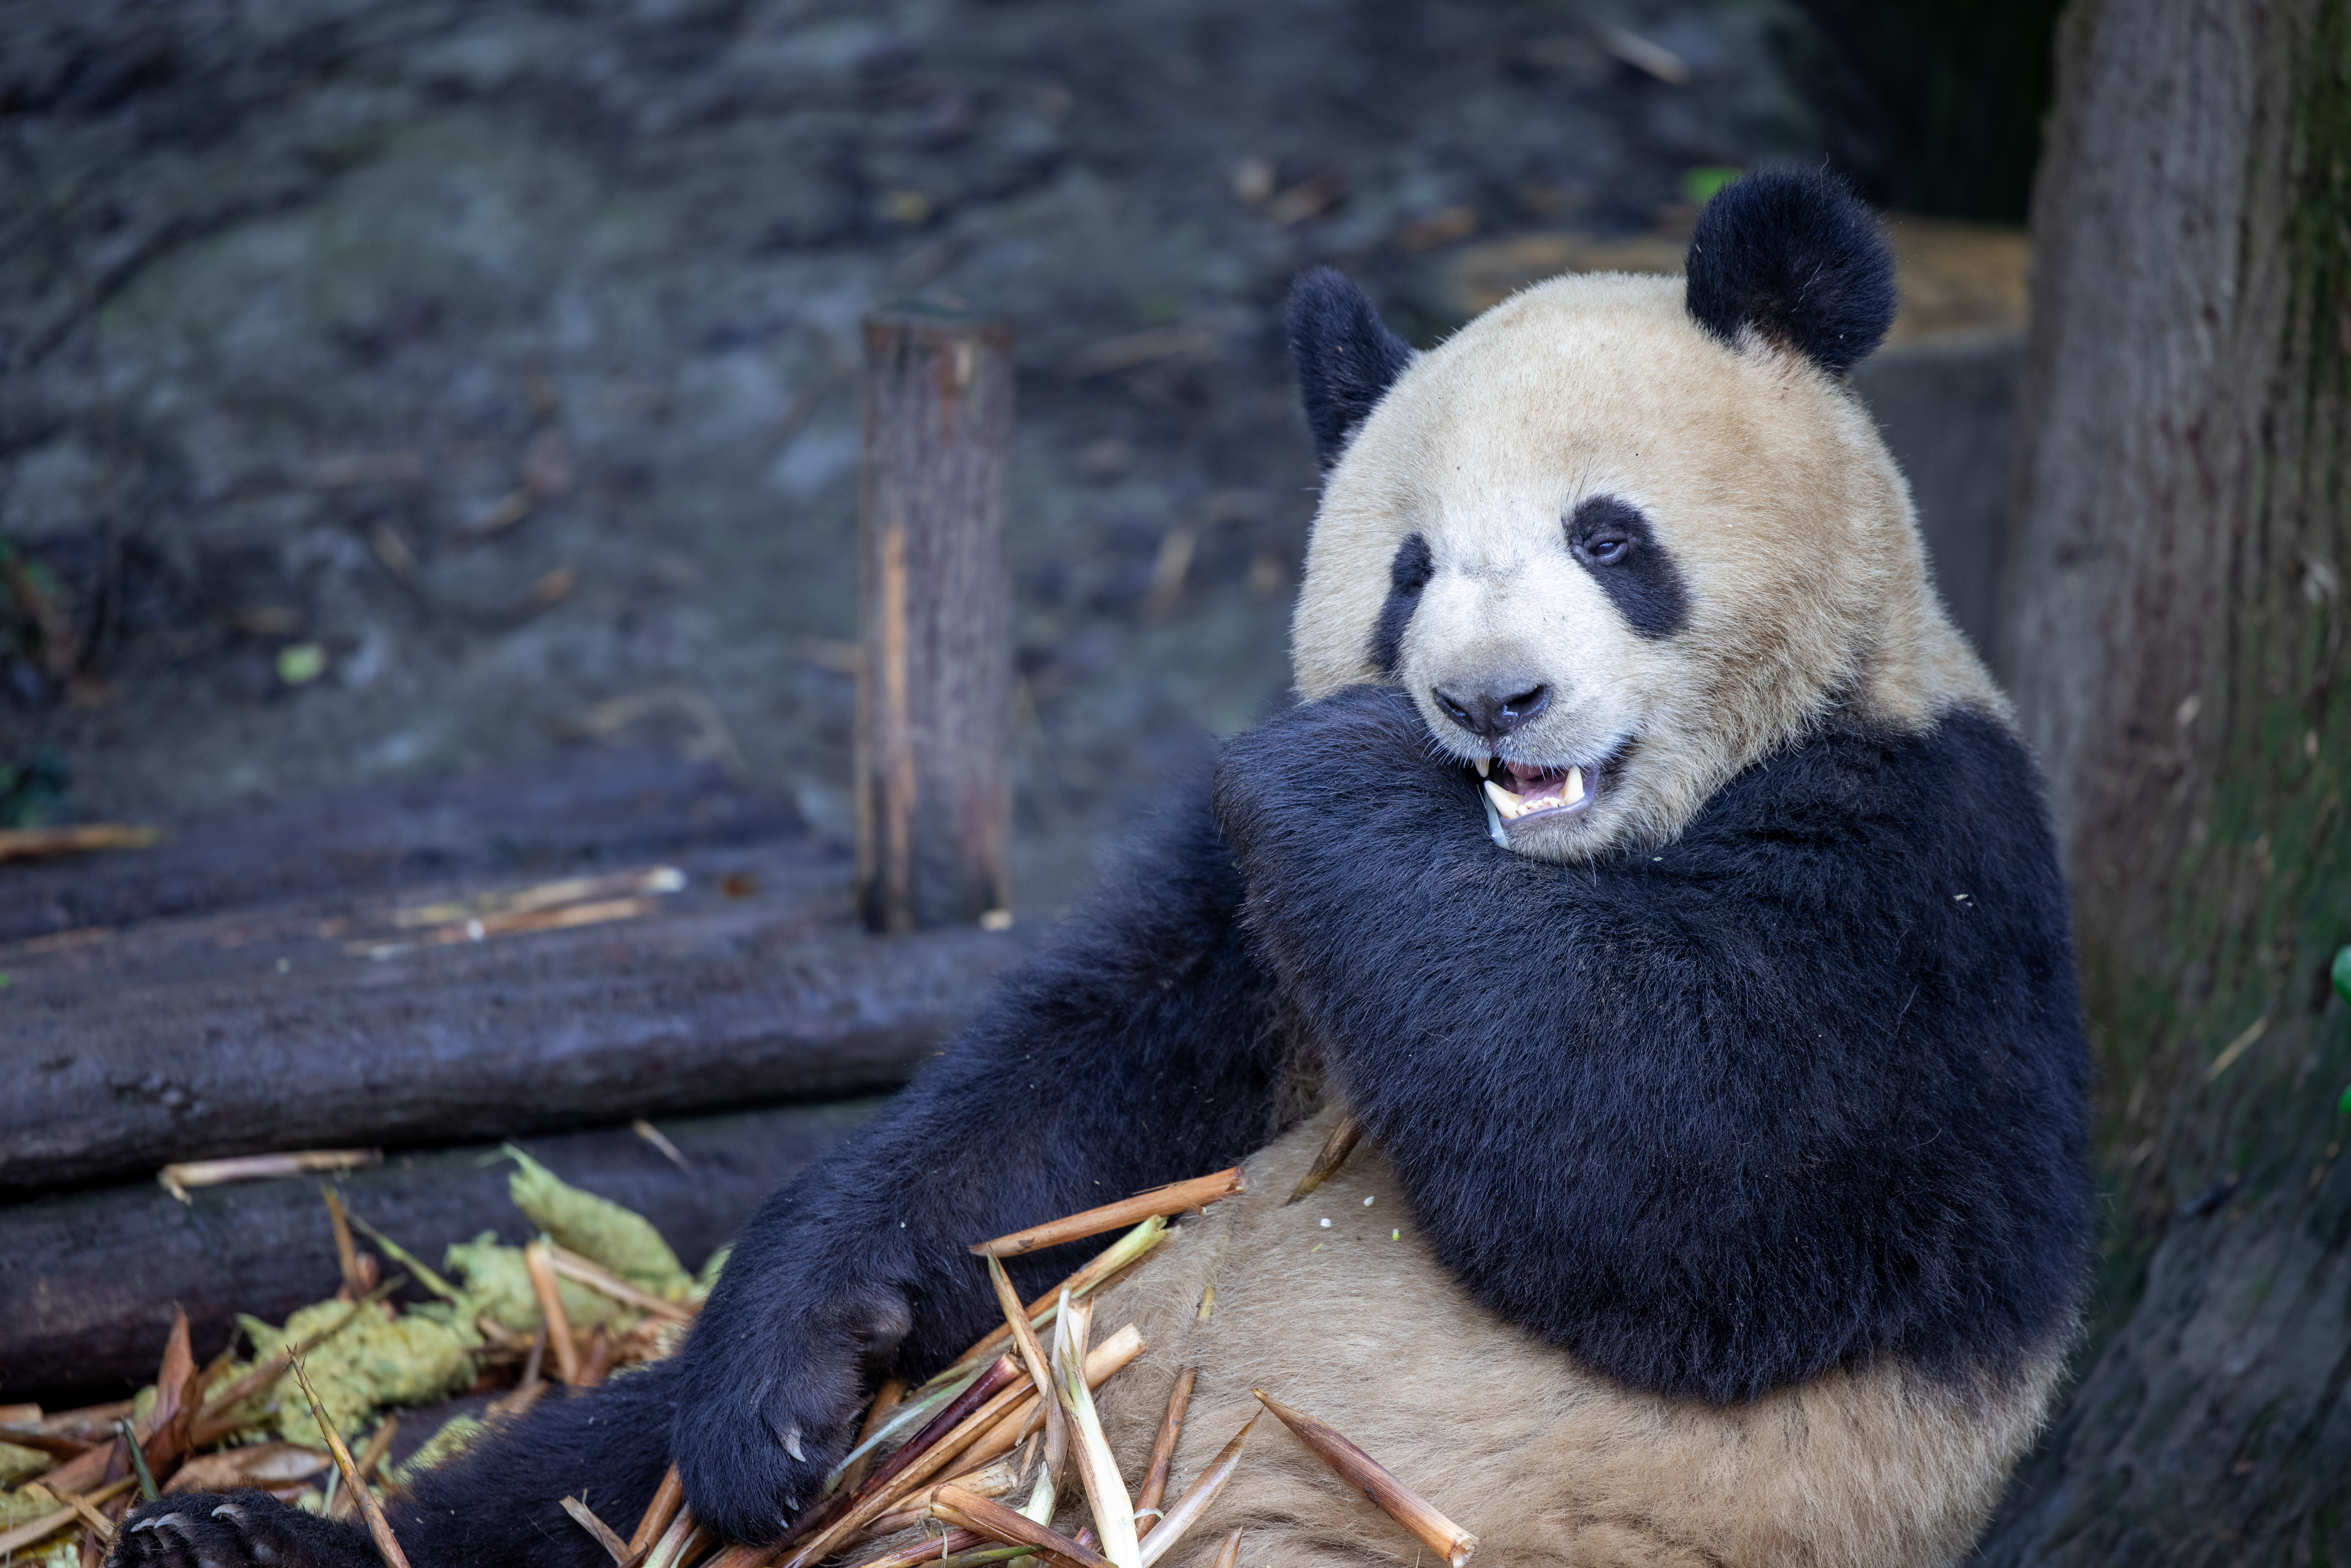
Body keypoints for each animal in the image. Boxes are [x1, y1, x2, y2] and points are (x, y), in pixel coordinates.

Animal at [114, 171, 2097, 1568]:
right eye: (1408, 569)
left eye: (1611, 538)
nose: (1484, 699)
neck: (1566, 857)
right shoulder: (1260, 948)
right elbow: (1061, 1121)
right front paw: (783, 1378)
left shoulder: (1928, 878)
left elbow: (1688, 1166)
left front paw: (1347, 771)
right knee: (577, 1465)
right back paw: (234, 1534)